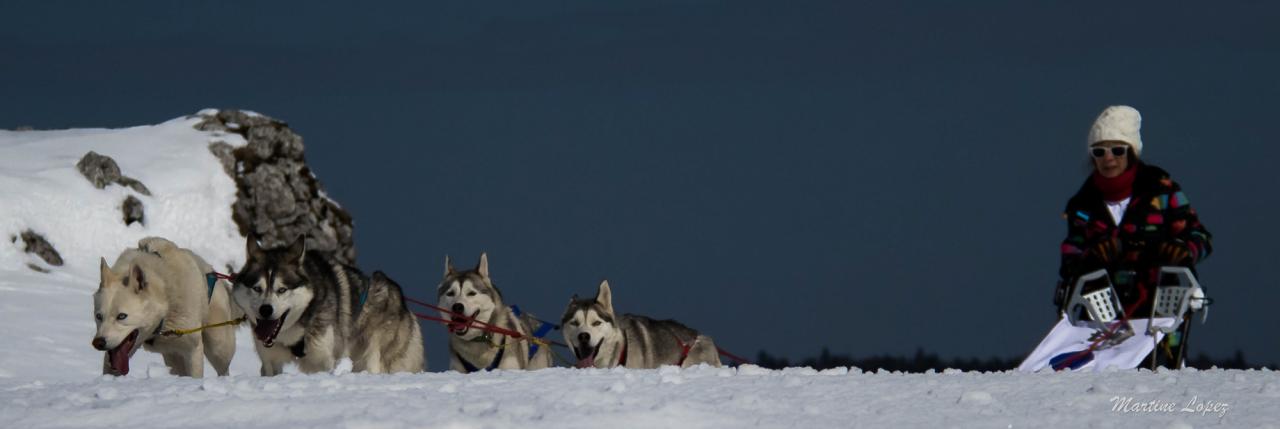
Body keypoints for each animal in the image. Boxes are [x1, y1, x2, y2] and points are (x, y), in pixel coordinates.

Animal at [93, 236, 240, 379]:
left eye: (122, 316)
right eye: (98, 316)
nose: (98, 342)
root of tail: (214, 274)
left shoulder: (192, 350)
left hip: (219, 346)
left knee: (223, 368)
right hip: (174, 358)